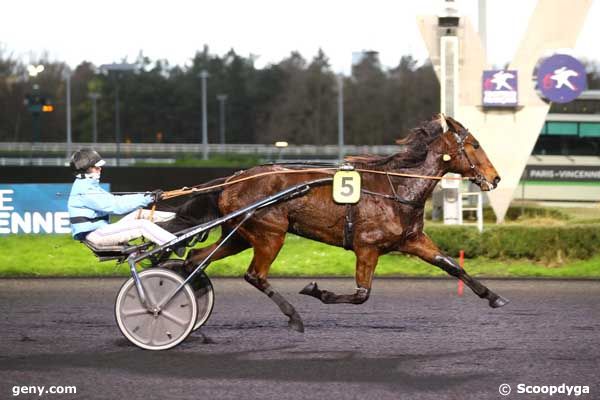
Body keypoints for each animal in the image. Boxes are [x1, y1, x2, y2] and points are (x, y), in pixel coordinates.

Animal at [158, 113, 506, 332]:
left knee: (195, 260)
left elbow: (452, 265)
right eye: (475, 144)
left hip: (240, 235)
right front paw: (316, 291)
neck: (396, 188)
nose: (495, 178)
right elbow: (361, 294)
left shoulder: (412, 240)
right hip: (270, 233)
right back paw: (294, 317)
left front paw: (493, 297)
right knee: (255, 275)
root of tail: (232, 179)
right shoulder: (367, 247)